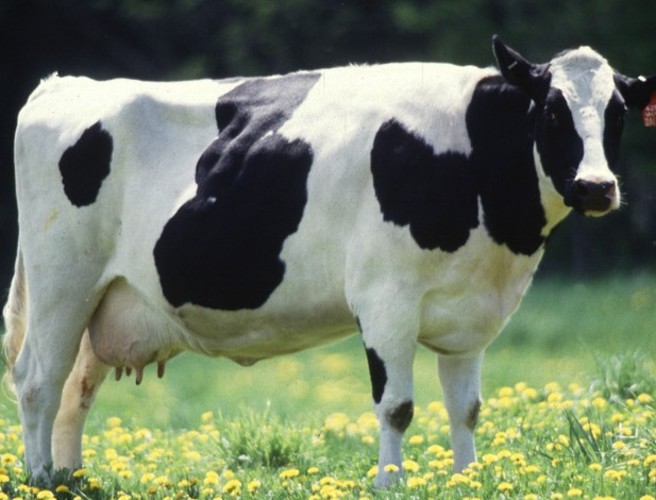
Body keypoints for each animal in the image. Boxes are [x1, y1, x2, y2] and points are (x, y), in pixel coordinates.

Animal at [3, 36, 655, 487]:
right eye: (552, 111)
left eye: (619, 112)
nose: (596, 187)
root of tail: (65, 84)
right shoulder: (385, 299)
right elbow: (397, 408)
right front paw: (391, 485)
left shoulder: (469, 316)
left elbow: (466, 410)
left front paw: (466, 481)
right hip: (62, 281)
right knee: (38, 381)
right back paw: (40, 480)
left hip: (104, 299)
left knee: (75, 390)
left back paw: (71, 477)